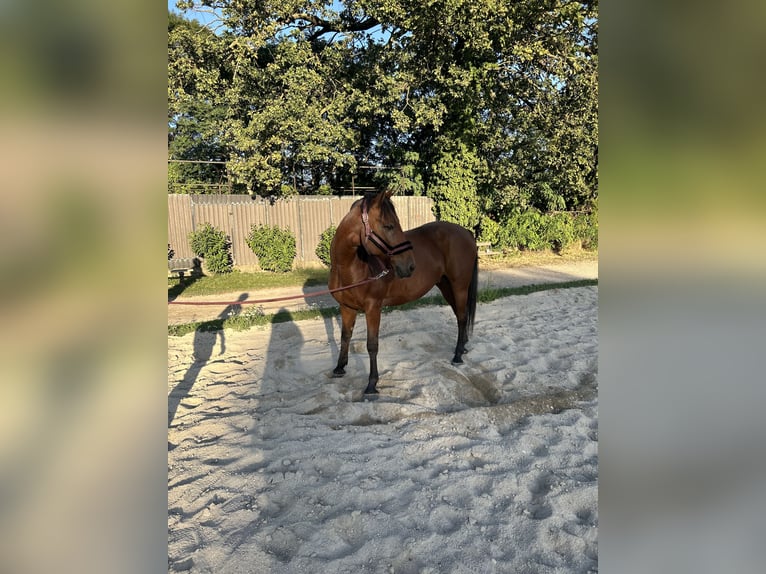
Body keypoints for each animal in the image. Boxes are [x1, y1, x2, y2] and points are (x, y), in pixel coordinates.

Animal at [329, 189, 478, 395]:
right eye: (389, 226)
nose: (409, 266)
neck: (351, 267)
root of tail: (467, 233)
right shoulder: (346, 307)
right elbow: (345, 336)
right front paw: (339, 367)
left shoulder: (373, 308)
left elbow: (372, 345)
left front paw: (372, 384)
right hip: (446, 286)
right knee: (459, 316)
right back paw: (462, 347)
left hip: (460, 287)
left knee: (462, 318)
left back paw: (457, 356)